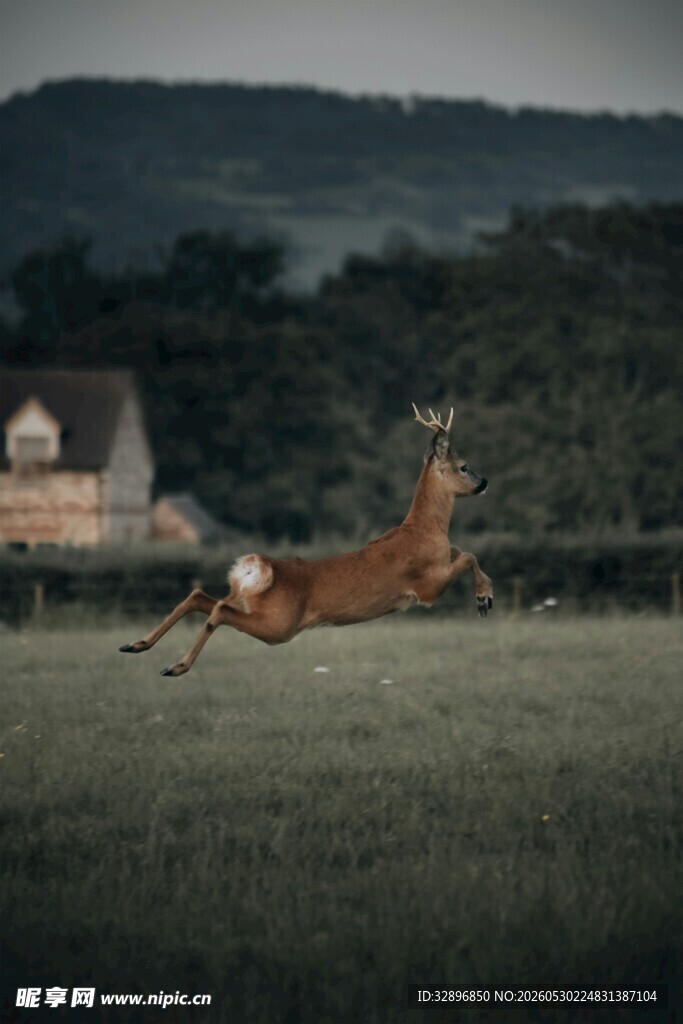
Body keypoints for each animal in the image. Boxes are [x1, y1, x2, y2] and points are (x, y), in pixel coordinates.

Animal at [119, 405, 493, 676]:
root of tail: (255, 568)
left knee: (201, 597)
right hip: (279, 624)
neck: (425, 530)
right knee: (219, 610)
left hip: (252, 604)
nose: (484, 482)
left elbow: (462, 550)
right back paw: (176, 666)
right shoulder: (426, 587)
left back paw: (136, 645)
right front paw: (484, 599)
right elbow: (469, 555)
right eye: (463, 466)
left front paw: (484, 596)